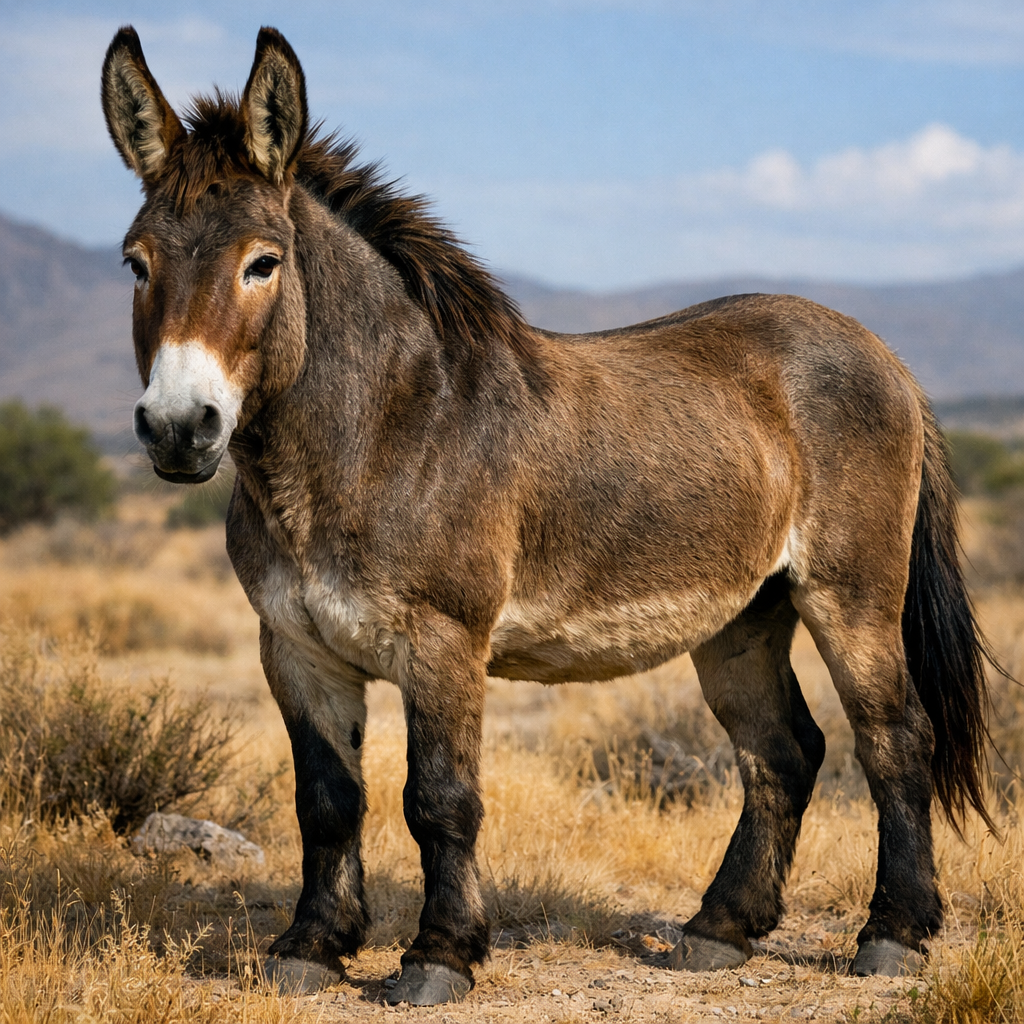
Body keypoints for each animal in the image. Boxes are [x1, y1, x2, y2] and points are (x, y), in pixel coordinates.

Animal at [102, 25, 993, 1006]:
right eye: (136, 264)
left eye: (263, 262)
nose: (178, 429)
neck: (380, 427)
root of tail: (880, 350)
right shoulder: (296, 649)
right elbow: (327, 801)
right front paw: (311, 946)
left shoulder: (444, 642)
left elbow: (439, 798)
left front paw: (439, 956)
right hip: (742, 615)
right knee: (782, 751)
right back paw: (719, 931)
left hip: (850, 594)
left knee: (894, 738)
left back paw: (894, 936)